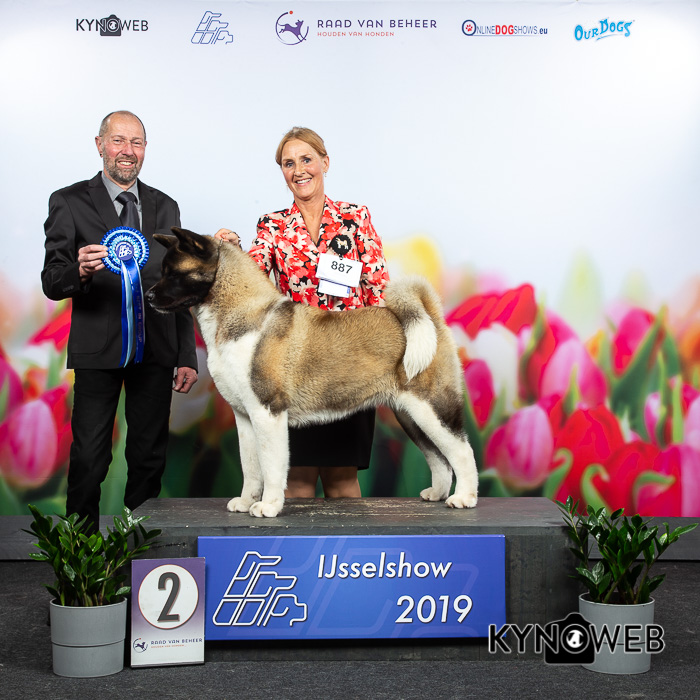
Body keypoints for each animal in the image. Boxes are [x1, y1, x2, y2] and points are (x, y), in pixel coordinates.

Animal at [147, 227, 478, 517]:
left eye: (174, 273)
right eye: (164, 271)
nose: (148, 296)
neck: (241, 315)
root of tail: (431, 318)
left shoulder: (268, 412)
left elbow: (270, 465)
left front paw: (268, 507)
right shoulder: (245, 416)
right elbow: (251, 466)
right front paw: (245, 501)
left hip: (431, 408)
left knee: (461, 452)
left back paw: (464, 498)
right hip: (410, 415)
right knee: (438, 456)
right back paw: (437, 493)